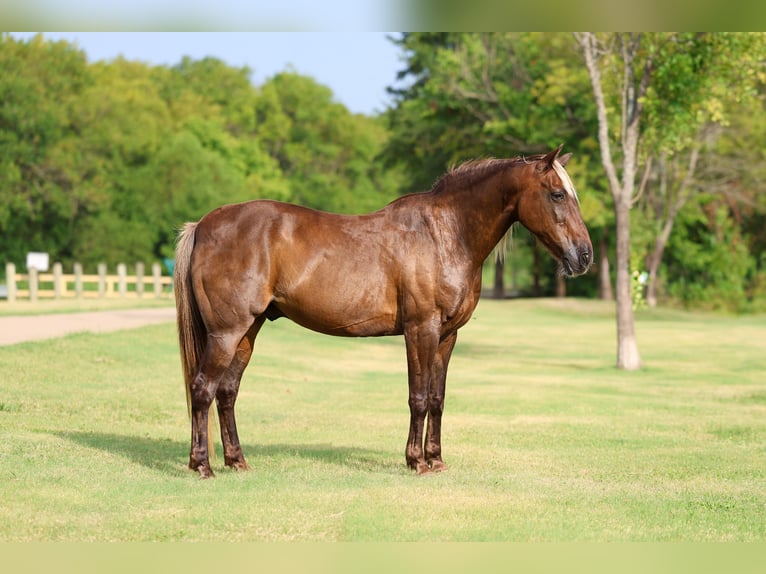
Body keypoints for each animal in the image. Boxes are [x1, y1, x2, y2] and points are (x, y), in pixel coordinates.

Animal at [174, 145, 592, 478]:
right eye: (557, 194)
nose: (584, 256)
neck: (445, 234)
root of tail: (204, 224)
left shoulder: (447, 336)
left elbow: (437, 399)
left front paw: (436, 460)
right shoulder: (420, 329)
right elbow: (418, 396)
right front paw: (416, 462)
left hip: (247, 331)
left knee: (226, 392)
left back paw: (236, 461)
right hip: (226, 333)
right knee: (202, 389)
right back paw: (202, 466)